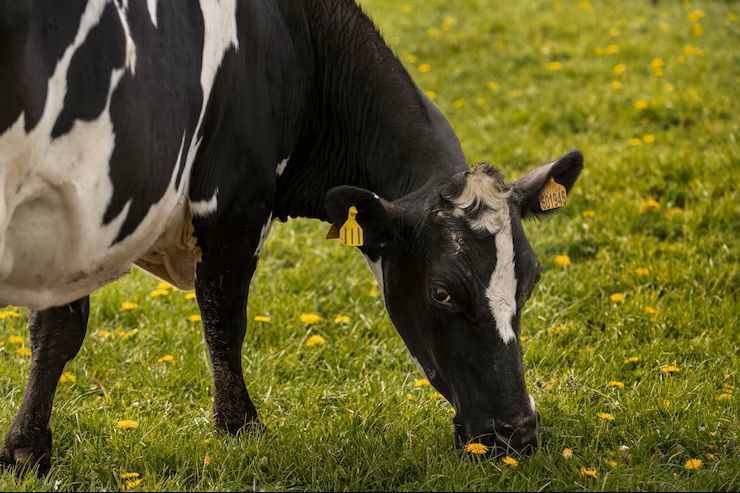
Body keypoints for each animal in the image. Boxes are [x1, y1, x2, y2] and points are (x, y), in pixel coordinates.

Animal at [0, 0, 583, 474]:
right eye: (441, 292)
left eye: (531, 280)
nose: (517, 431)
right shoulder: (229, 201)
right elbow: (219, 323)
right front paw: (238, 428)